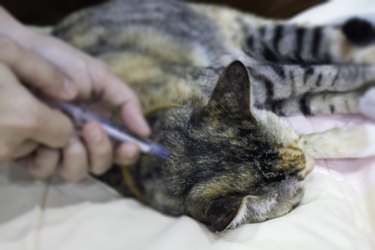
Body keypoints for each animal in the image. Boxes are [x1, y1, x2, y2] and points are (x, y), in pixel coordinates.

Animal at [52, 0, 375, 231]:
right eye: (299, 190)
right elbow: (319, 109)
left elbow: (321, 75)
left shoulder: (267, 79)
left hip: (266, 40)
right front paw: (362, 133)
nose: (310, 168)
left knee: (331, 50)